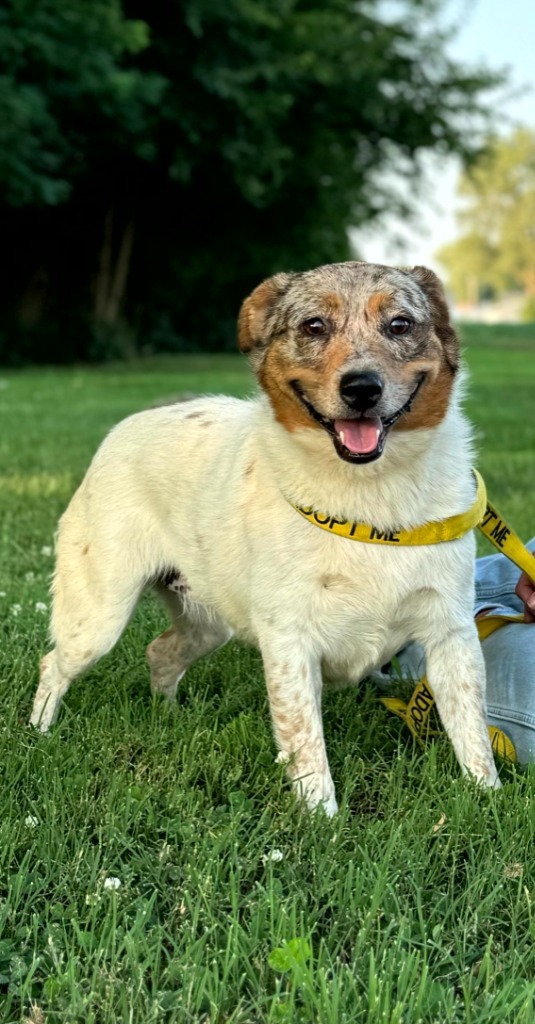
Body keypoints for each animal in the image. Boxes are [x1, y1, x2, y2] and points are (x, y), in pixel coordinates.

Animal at [31, 264, 498, 815]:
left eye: (400, 324)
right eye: (314, 325)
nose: (362, 388)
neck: (370, 503)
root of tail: (128, 424)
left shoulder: (451, 634)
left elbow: (473, 734)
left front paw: (488, 802)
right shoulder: (290, 641)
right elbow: (306, 744)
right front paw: (322, 820)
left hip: (207, 621)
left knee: (160, 652)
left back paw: (169, 717)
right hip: (98, 616)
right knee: (53, 663)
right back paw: (38, 734)